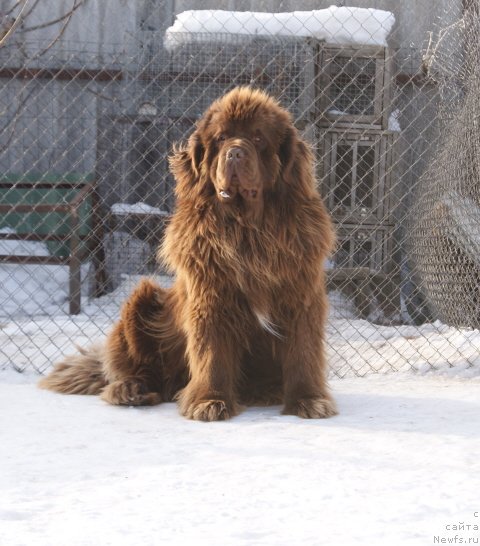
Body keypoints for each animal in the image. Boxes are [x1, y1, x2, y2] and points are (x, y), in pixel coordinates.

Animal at [39, 87, 336, 418]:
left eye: (258, 138)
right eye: (221, 138)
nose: (235, 152)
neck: (247, 229)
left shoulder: (301, 296)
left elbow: (303, 353)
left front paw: (307, 400)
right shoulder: (210, 296)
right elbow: (212, 354)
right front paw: (209, 401)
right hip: (143, 298)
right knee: (139, 370)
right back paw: (131, 390)